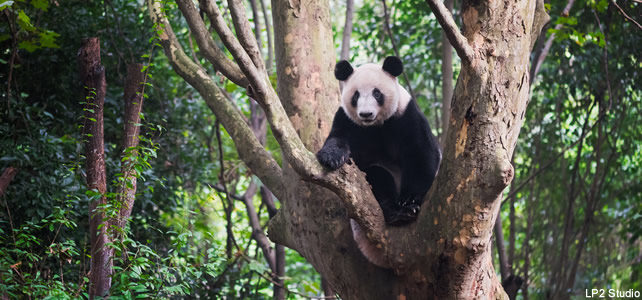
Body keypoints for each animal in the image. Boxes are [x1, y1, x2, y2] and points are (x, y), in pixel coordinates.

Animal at [316, 56, 440, 268]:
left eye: (377, 93)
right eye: (356, 95)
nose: (366, 114)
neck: (375, 126)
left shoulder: (406, 115)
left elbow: (421, 155)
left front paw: (411, 201)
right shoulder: (347, 120)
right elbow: (338, 139)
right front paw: (331, 157)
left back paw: (405, 211)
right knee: (377, 176)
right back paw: (395, 213)